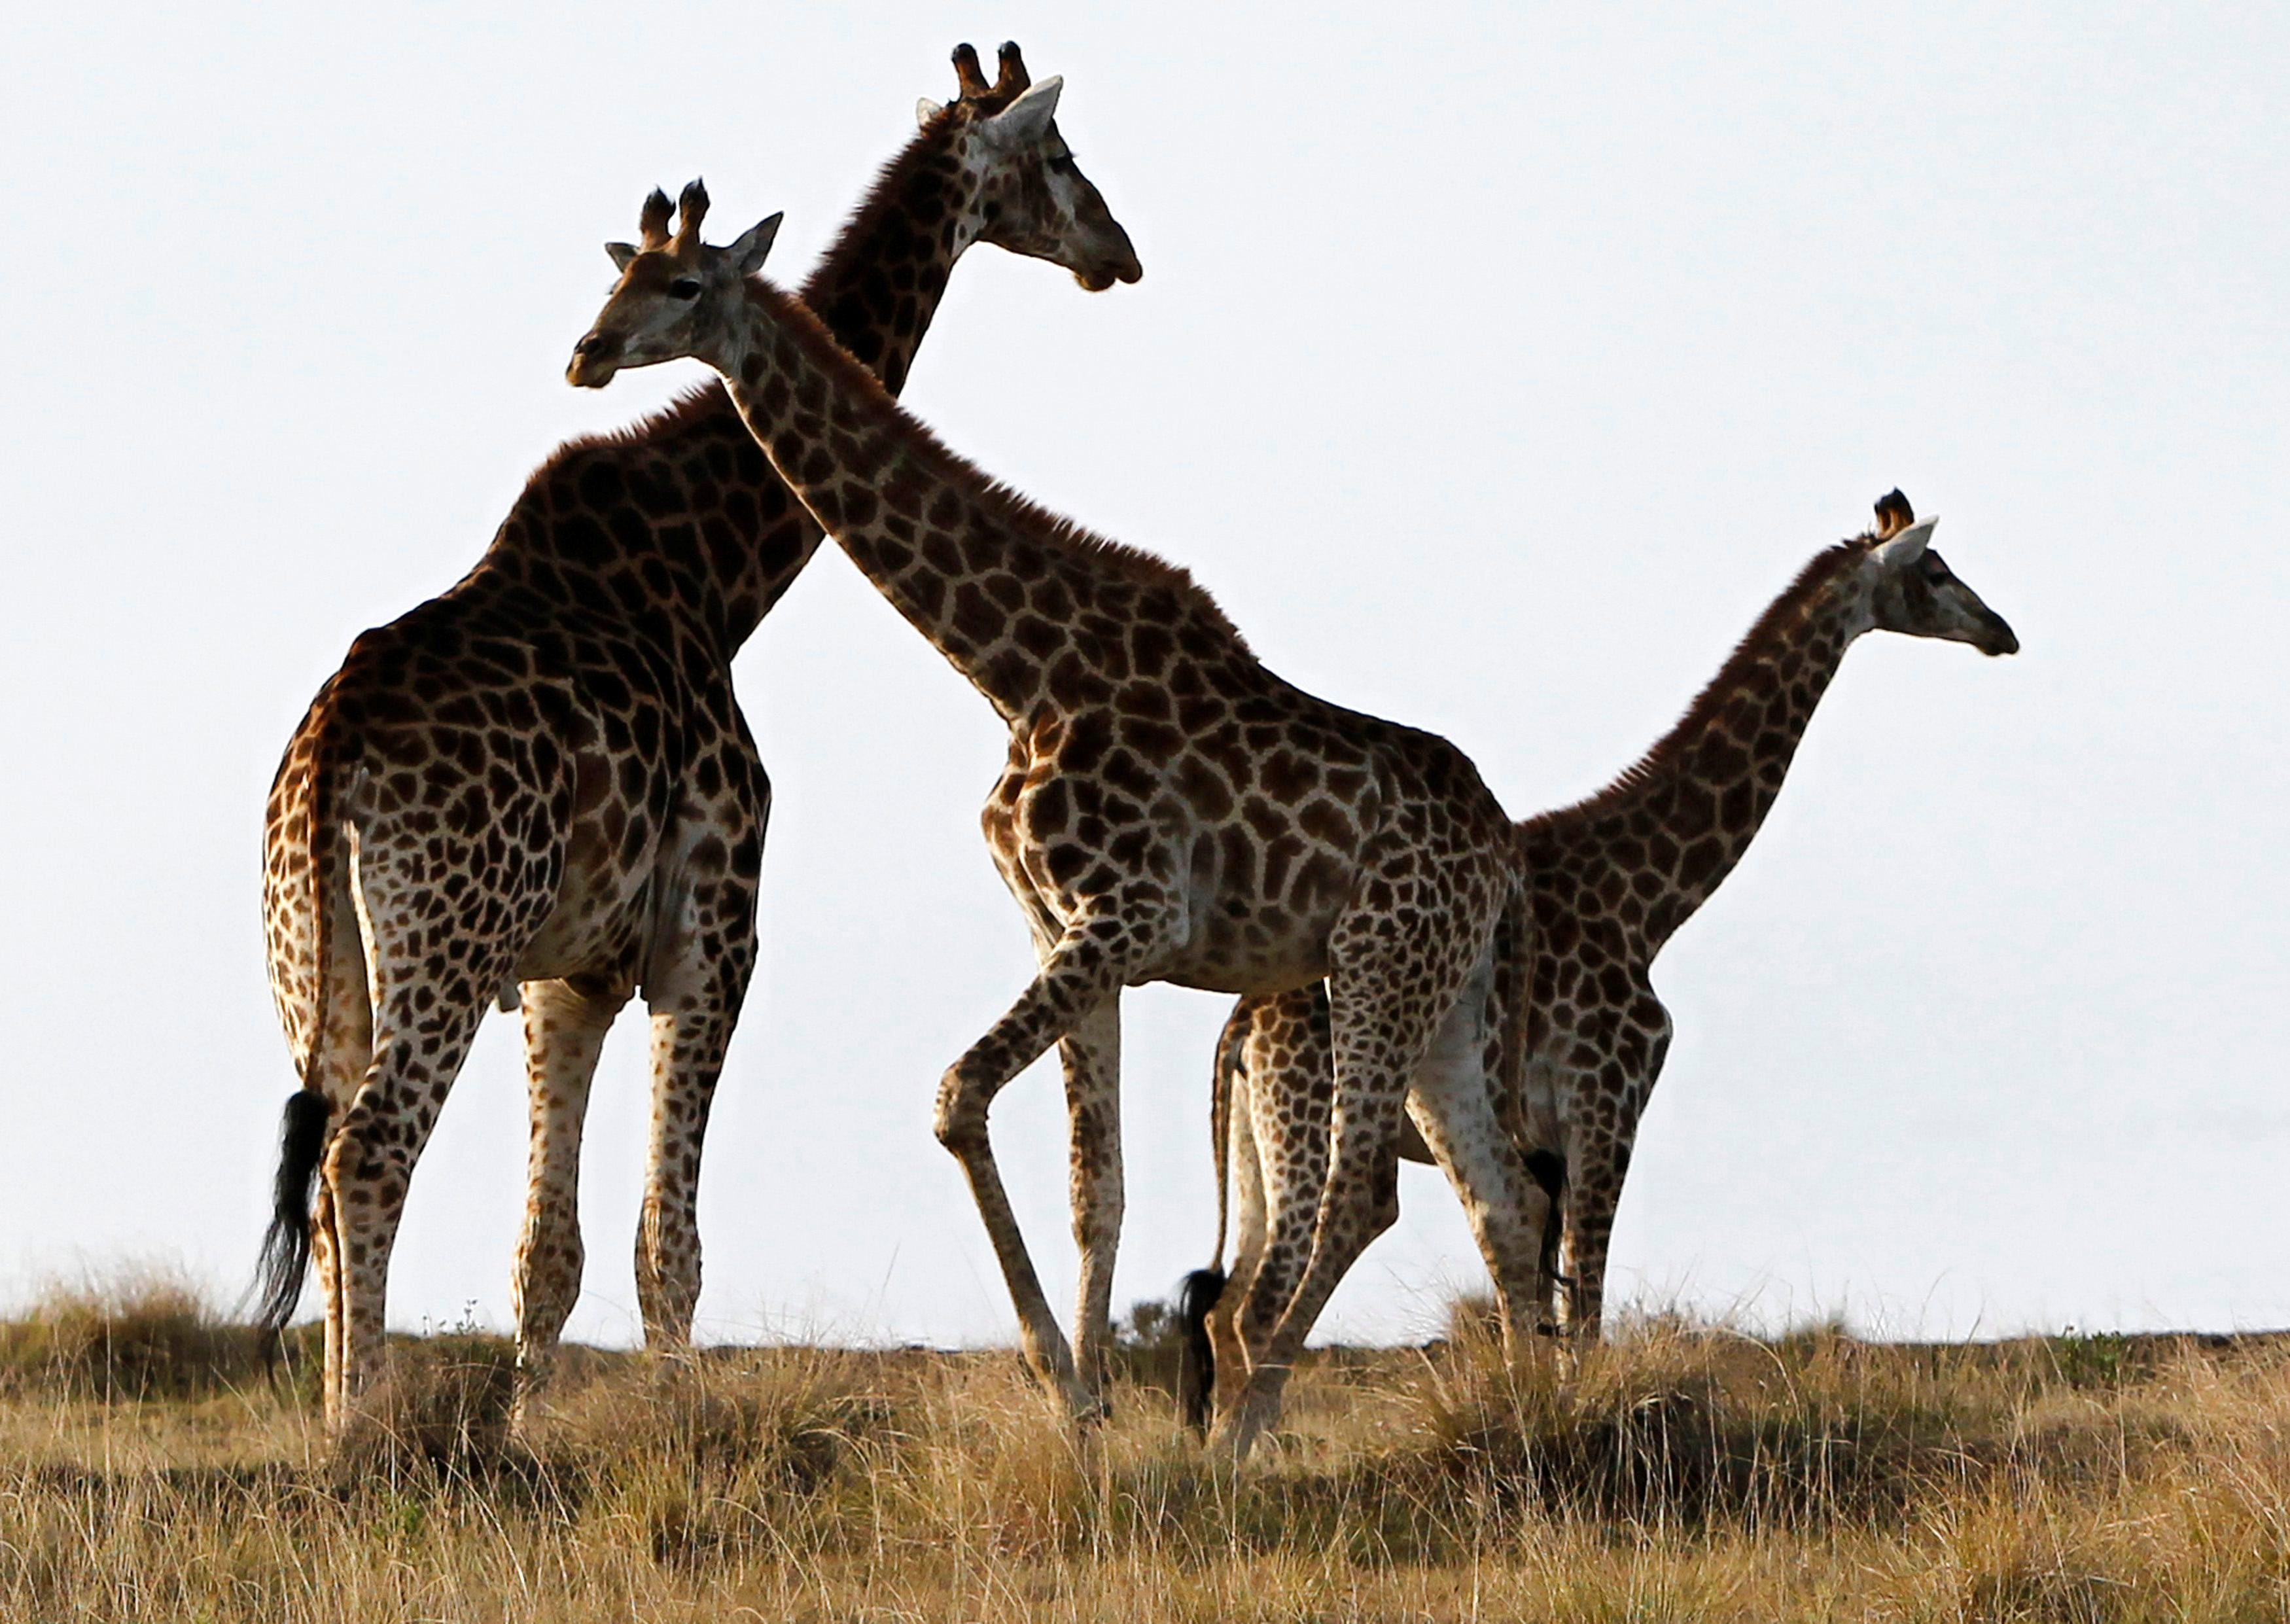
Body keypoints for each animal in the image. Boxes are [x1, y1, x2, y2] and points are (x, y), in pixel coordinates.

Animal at [255, 41, 1140, 1429]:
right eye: (1057, 156)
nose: (1117, 250)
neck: (717, 572)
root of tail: (332, 745)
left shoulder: (568, 970)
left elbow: (550, 1254)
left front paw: (524, 1433)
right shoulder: (712, 931)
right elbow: (667, 1246)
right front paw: (674, 1433)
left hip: (315, 962)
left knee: (331, 1165)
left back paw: (348, 1417)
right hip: (449, 936)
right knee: (369, 1153)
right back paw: (362, 1435)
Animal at [563, 183, 1548, 1447]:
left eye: (682, 286)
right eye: (615, 278)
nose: (588, 354)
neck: (1016, 671)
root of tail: (1501, 851)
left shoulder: (1125, 915)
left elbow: (957, 1096)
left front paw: (1062, 1382)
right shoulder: (1065, 929)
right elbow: (1099, 1184)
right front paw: (1086, 1412)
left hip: (1381, 963)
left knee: (1366, 1190)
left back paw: (1244, 1430)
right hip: (1446, 991)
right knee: (1499, 1196)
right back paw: (1531, 1416)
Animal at [1191, 487, 2015, 1429]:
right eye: (1936, 570)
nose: (2002, 631)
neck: (1652, 901)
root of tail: (1242, 1025)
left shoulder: (1554, 1133)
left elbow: (1540, 1297)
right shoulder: (1604, 1100)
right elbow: (1582, 1304)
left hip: (1260, 1142)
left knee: (1225, 1307)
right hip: (1309, 1118)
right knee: (1259, 1303)